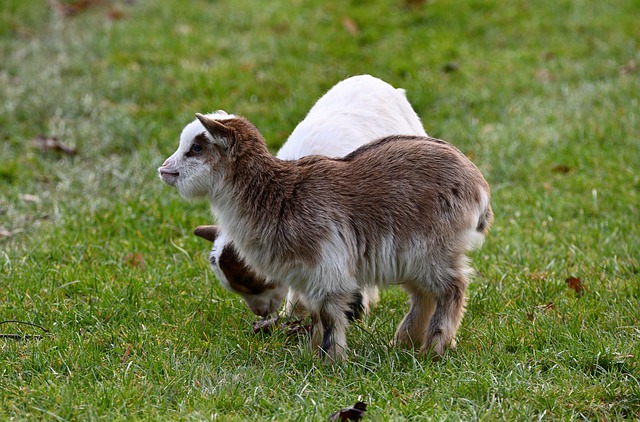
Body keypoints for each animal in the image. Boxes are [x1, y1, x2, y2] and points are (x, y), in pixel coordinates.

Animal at [158, 109, 492, 360]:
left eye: (196, 148)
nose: (164, 170)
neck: (276, 195)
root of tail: (477, 184)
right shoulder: (310, 276)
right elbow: (317, 314)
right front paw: (312, 351)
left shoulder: (327, 266)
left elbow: (330, 314)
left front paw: (329, 360)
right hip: (410, 256)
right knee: (424, 294)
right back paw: (404, 342)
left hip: (433, 249)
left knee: (453, 288)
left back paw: (434, 348)